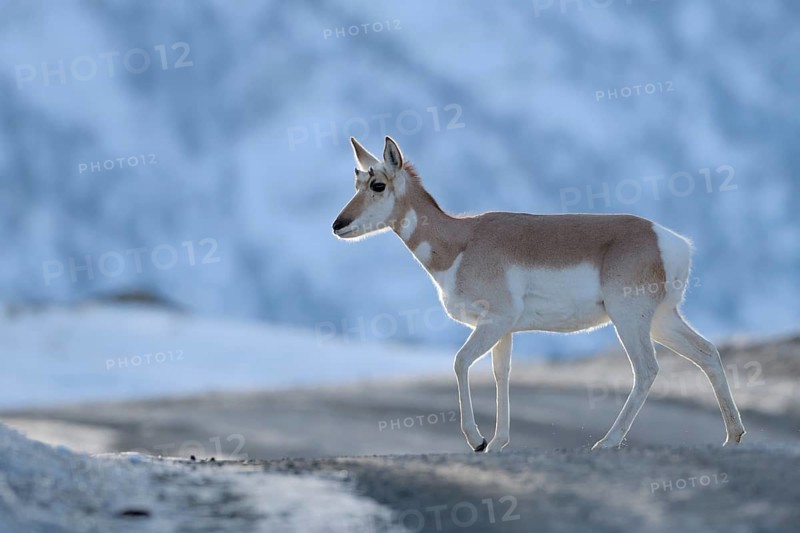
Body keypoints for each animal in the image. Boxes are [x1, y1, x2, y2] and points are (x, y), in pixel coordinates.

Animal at [332, 136, 745, 452]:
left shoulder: (494, 321)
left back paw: (607, 442)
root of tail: (670, 240)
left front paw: (477, 440)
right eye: (356, 183)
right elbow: (501, 374)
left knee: (647, 369)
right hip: (662, 320)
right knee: (707, 353)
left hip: (629, 320)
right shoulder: (504, 331)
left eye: (378, 185)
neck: (462, 241)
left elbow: (460, 362)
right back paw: (732, 437)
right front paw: (498, 443)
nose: (338, 225)